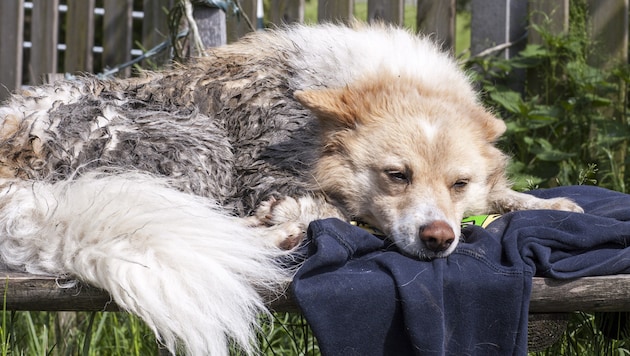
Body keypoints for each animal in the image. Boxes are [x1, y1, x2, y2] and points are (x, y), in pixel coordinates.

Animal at [0, 23, 584, 354]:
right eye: (396, 175)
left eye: (459, 183)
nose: (439, 237)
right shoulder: (264, 175)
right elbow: (321, 210)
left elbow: (509, 195)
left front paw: (552, 204)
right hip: (199, 142)